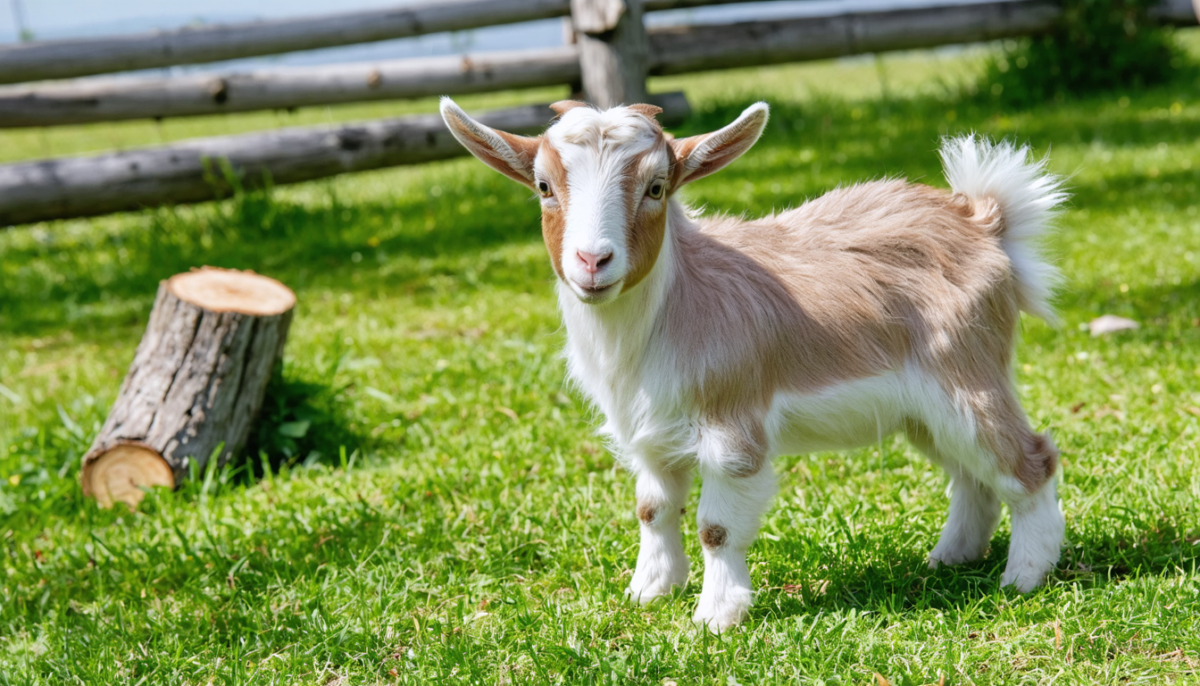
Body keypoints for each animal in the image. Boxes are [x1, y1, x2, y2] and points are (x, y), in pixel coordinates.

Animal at [441, 97, 1066, 630]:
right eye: (544, 186)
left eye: (656, 187)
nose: (593, 261)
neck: (674, 306)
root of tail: (983, 220)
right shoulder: (648, 434)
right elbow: (652, 509)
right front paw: (649, 591)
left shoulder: (732, 431)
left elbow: (716, 529)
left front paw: (716, 617)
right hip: (924, 411)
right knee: (973, 478)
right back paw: (951, 557)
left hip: (966, 377)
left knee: (1029, 460)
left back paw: (1023, 575)